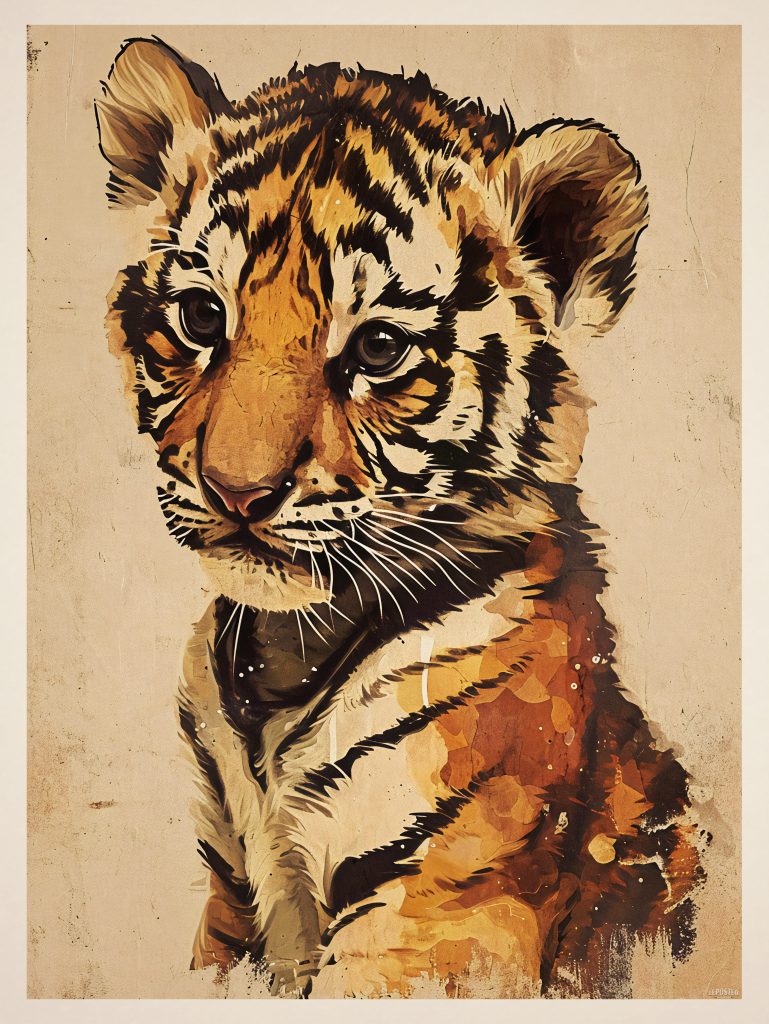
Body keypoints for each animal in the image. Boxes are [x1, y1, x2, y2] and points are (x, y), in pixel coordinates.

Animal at [95, 37, 705, 998]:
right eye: (200, 316)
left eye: (378, 348)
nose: (236, 489)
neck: (281, 653)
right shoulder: (230, 902)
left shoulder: (437, 909)